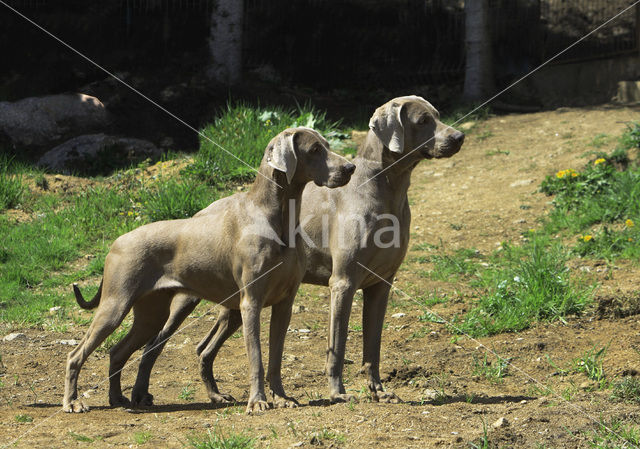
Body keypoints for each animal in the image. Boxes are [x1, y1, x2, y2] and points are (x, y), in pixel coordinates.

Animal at [62, 126, 356, 412]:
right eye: (314, 149)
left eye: (327, 145)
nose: (351, 167)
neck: (279, 219)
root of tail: (116, 242)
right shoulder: (251, 302)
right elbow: (257, 358)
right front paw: (257, 402)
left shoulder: (285, 303)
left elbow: (275, 358)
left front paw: (282, 398)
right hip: (116, 304)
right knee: (76, 355)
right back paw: (73, 402)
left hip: (151, 314)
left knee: (118, 351)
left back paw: (117, 398)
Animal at [129, 96, 464, 404]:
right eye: (423, 121)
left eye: (437, 115)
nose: (458, 137)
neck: (386, 190)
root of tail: (200, 212)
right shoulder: (343, 282)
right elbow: (337, 345)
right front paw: (337, 392)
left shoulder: (381, 284)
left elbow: (373, 346)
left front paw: (379, 391)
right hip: (188, 297)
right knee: (154, 343)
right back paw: (140, 395)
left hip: (234, 301)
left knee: (203, 347)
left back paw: (215, 394)